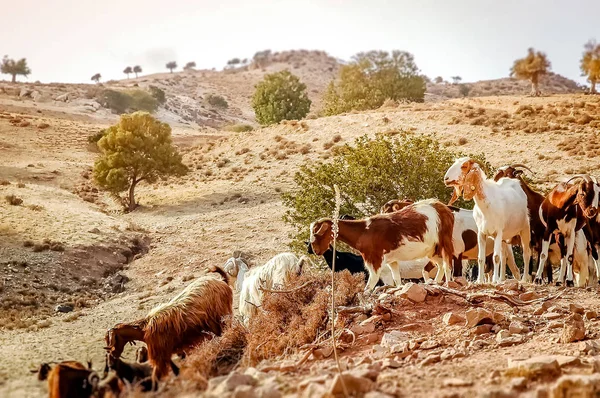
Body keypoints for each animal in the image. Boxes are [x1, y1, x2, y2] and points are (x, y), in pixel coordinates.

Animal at [104, 266, 233, 384]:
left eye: (111, 340)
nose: (113, 354)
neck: (144, 330)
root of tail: (221, 281)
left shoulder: (160, 355)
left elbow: (156, 377)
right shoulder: (170, 351)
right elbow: (174, 370)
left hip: (220, 317)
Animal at [312, 199, 452, 290]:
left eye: (317, 233)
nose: (315, 250)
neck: (363, 231)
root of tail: (440, 206)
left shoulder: (375, 262)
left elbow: (369, 286)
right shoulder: (392, 260)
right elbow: (397, 280)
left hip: (445, 243)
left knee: (447, 265)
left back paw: (448, 283)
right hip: (432, 250)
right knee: (440, 265)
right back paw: (436, 282)